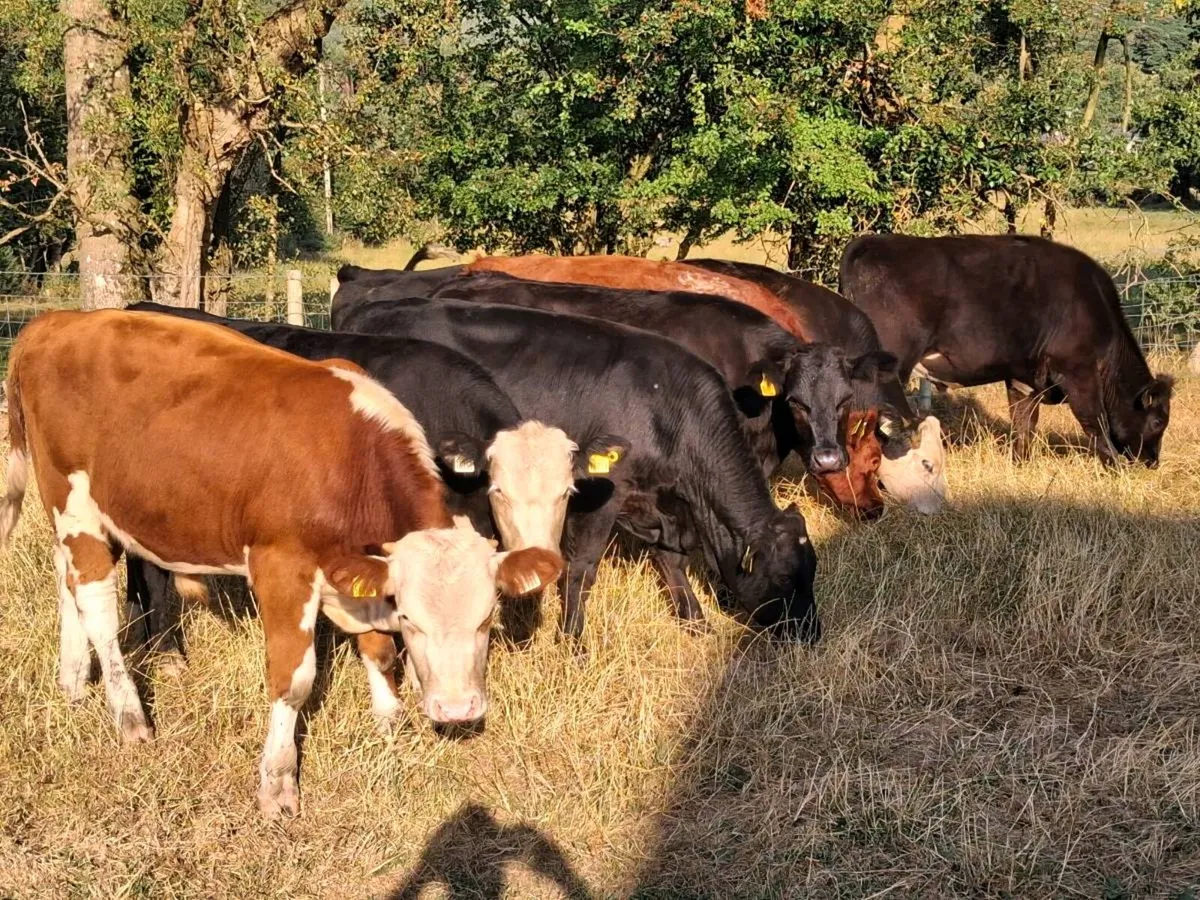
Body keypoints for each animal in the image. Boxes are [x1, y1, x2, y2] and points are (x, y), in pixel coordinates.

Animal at [331, 295, 820, 643]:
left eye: (812, 568)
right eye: (783, 577)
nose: (810, 634)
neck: (669, 408)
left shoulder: (669, 504)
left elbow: (672, 561)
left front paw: (695, 621)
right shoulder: (606, 492)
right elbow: (583, 568)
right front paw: (572, 640)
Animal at [839, 234, 1173, 465]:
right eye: (1158, 421)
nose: (1153, 462)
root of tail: (872, 242)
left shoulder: (1023, 378)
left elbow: (1024, 422)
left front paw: (1022, 462)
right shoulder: (1078, 371)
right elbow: (1095, 420)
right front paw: (1115, 466)